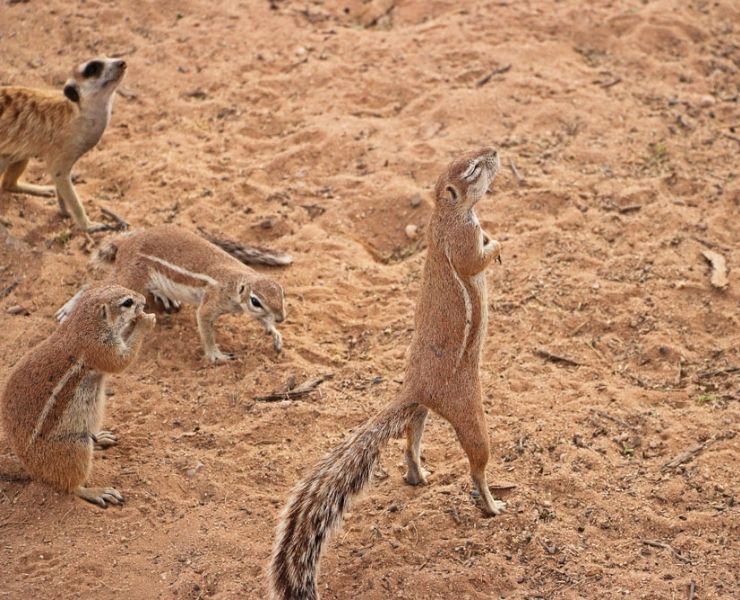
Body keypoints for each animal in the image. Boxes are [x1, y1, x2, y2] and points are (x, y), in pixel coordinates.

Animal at [0, 57, 127, 232]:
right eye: (93, 68)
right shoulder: (62, 146)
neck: (76, 116)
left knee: (8, 181)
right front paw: (88, 225)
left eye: (109, 57)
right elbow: (58, 173)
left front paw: (65, 211)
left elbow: (60, 181)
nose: (122, 62)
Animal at [1, 284, 155, 506]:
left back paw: (100, 438)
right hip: (74, 446)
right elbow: (121, 361)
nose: (144, 299)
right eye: (127, 302)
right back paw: (97, 492)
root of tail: (26, 465)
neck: (84, 323)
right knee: (70, 485)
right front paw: (145, 320)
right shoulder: (100, 348)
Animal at [54, 225, 286, 364]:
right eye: (255, 301)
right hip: (130, 279)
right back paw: (68, 309)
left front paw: (275, 333)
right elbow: (205, 325)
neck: (237, 280)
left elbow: (263, 322)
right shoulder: (211, 302)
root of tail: (126, 243)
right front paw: (215, 355)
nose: (282, 318)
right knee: (92, 285)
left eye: (282, 293)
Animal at [270, 148, 502, 596]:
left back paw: (417, 475)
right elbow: (475, 259)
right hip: (471, 414)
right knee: (476, 465)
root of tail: (413, 388)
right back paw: (492, 503)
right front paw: (498, 243)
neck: (444, 213)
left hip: (421, 410)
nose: (495, 152)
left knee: (410, 439)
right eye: (473, 168)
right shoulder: (463, 241)